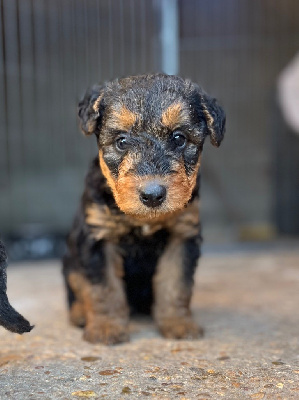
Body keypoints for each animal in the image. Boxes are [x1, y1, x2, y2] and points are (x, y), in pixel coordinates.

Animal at [63, 74, 227, 344]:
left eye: (179, 138)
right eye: (121, 141)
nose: (152, 195)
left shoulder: (182, 236)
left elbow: (175, 284)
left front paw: (178, 324)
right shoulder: (97, 237)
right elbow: (102, 288)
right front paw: (107, 327)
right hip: (71, 260)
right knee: (76, 287)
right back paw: (79, 314)